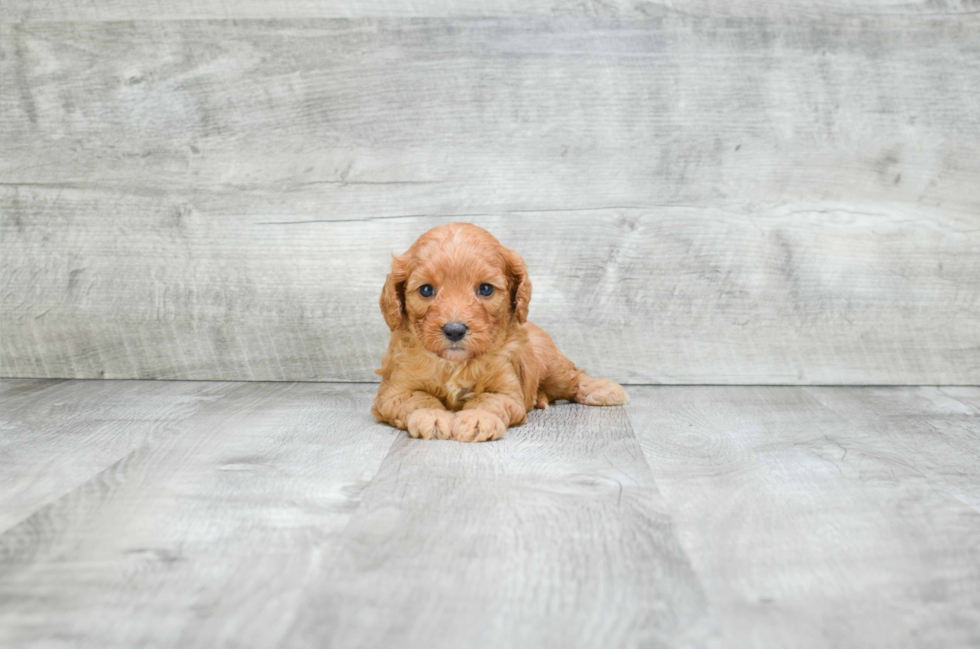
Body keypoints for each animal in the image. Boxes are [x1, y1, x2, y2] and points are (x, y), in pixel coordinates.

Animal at [372, 221, 632, 440]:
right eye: (426, 290)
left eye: (485, 289)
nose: (454, 330)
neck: (454, 364)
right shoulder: (394, 392)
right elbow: (419, 398)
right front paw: (432, 417)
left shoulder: (507, 390)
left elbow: (488, 400)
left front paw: (478, 418)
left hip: (552, 366)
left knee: (574, 378)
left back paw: (604, 389)